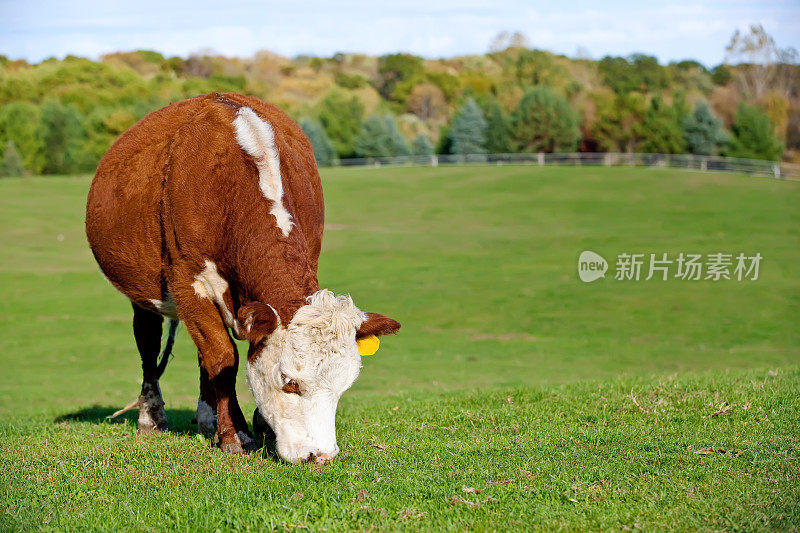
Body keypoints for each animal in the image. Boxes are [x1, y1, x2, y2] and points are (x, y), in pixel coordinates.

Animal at [84, 93, 400, 464]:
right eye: (290, 381)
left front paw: (258, 425)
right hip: (143, 297)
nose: (319, 455)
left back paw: (207, 418)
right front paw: (236, 435)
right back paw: (152, 417)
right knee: (149, 346)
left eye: (344, 386)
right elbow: (224, 357)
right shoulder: (188, 283)